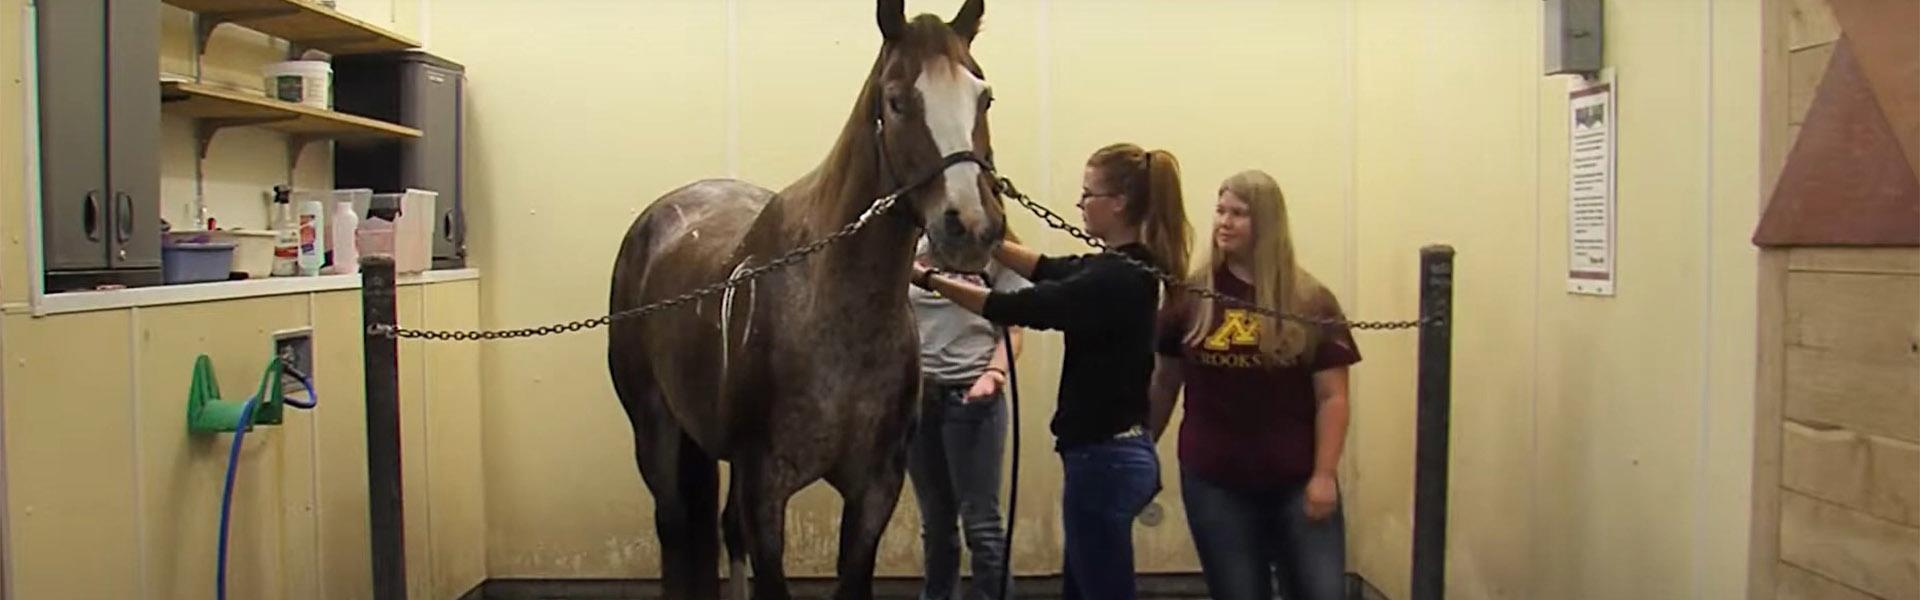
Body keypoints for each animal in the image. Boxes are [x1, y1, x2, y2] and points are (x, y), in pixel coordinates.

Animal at [610, 2, 1013, 596]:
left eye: (983, 96)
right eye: (896, 100)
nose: (971, 227)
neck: (835, 317)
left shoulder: (876, 490)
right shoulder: (766, 489)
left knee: (722, 530)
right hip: (654, 426)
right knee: (675, 528)